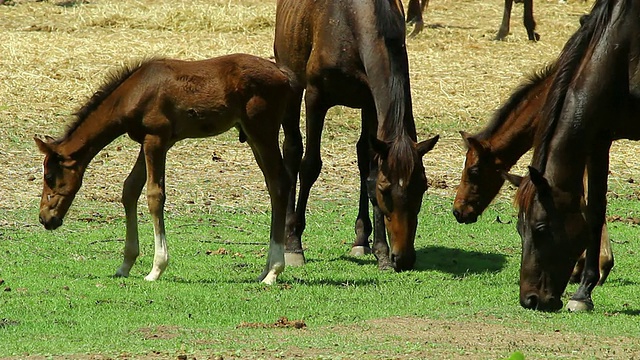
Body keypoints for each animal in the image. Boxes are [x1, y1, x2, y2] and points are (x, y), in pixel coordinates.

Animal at [37, 53, 300, 284]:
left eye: (49, 176)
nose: (44, 218)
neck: (134, 93)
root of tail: (283, 74)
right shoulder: (147, 141)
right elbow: (129, 189)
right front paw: (125, 264)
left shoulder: (157, 139)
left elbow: (154, 195)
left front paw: (156, 268)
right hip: (251, 134)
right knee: (273, 185)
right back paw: (265, 270)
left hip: (262, 130)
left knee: (279, 184)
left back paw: (274, 272)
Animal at [276, 0, 440, 272]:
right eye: (387, 190)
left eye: (423, 187)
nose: (404, 258)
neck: (351, 21)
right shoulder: (316, 97)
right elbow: (310, 166)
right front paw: (294, 245)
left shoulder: (371, 102)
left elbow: (371, 173)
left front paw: (381, 251)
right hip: (291, 81)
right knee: (292, 150)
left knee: (363, 155)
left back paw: (361, 240)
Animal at [516, 0, 640, 310]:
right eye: (519, 229)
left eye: (541, 228)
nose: (530, 299)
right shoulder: (599, 139)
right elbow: (595, 210)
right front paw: (583, 292)